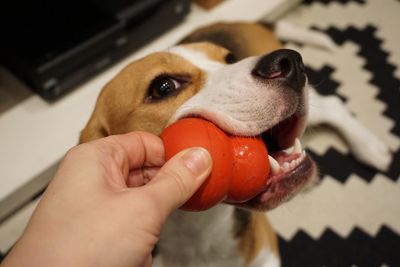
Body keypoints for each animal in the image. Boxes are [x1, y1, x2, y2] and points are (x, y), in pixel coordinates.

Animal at [80, 23, 390, 267]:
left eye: (230, 58)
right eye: (164, 87)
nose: (288, 62)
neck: (198, 235)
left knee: (334, 105)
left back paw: (371, 148)